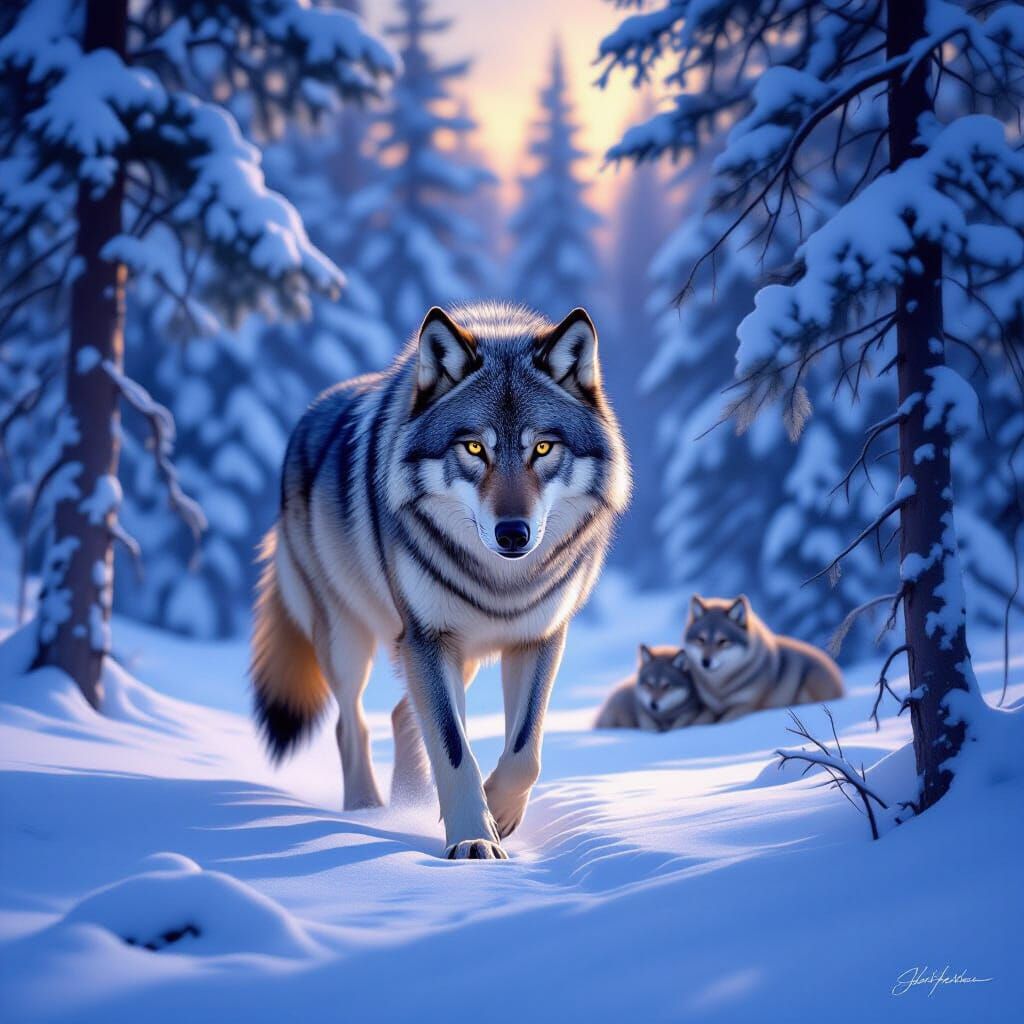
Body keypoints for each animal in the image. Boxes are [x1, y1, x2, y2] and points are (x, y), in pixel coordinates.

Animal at [251, 302, 630, 859]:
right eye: (474, 448)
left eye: (542, 448)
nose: (512, 533)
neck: (502, 581)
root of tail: (306, 416)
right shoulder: (427, 638)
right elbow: (454, 749)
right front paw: (474, 838)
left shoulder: (538, 638)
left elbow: (525, 751)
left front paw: (498, 812)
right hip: (349, 639)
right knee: (351, 723)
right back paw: (366, 811)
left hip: (455, 656)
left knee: (399, 717)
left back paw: (406, 804)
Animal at [683, 595, 843, 720]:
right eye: (701, 640)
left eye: (723, 641)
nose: (705, 662)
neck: (720, 689)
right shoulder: (712, 708)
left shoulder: (746, 705)